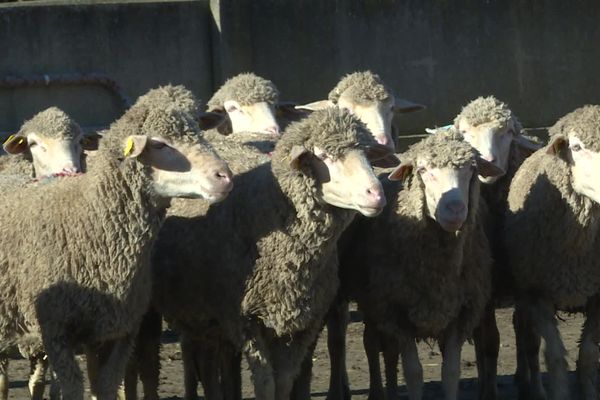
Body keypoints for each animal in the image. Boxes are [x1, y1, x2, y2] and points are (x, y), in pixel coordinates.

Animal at [0, 91, 232, 400]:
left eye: (198, 130)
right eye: (159, 143)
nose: (225, 176)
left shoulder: (120, 330)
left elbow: (108, 386)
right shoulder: (56, 329)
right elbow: (72, 389)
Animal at [136, 108, 396, 400]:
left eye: (367, 155)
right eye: (324, 156)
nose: (376, 194)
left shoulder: (302, 324)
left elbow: (283, 382)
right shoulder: (246, 320)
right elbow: (266, 384)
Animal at [506, 105, 600, 400]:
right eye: (577, 147)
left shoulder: (598, 295)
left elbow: (589, 356)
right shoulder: (539, 293)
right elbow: (554, 357)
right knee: (527, 337)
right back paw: (529, 385)